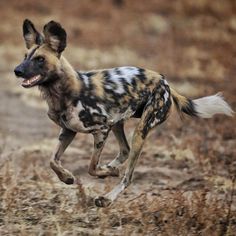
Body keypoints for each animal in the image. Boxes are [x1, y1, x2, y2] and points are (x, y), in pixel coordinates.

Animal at [13, 19, 233, 206]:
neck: (62, 93)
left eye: (40, 59)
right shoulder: (69, 131)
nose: (17, 70)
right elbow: (53, 161)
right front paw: (67, 177)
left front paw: (103, 173)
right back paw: (111, 170)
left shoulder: (101, 129)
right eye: (25, 57)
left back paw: (107, 196)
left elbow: (91, 167)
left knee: (128, 175)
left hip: (139, 131)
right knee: (124, 150)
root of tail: (166, 82)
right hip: (119, 122)